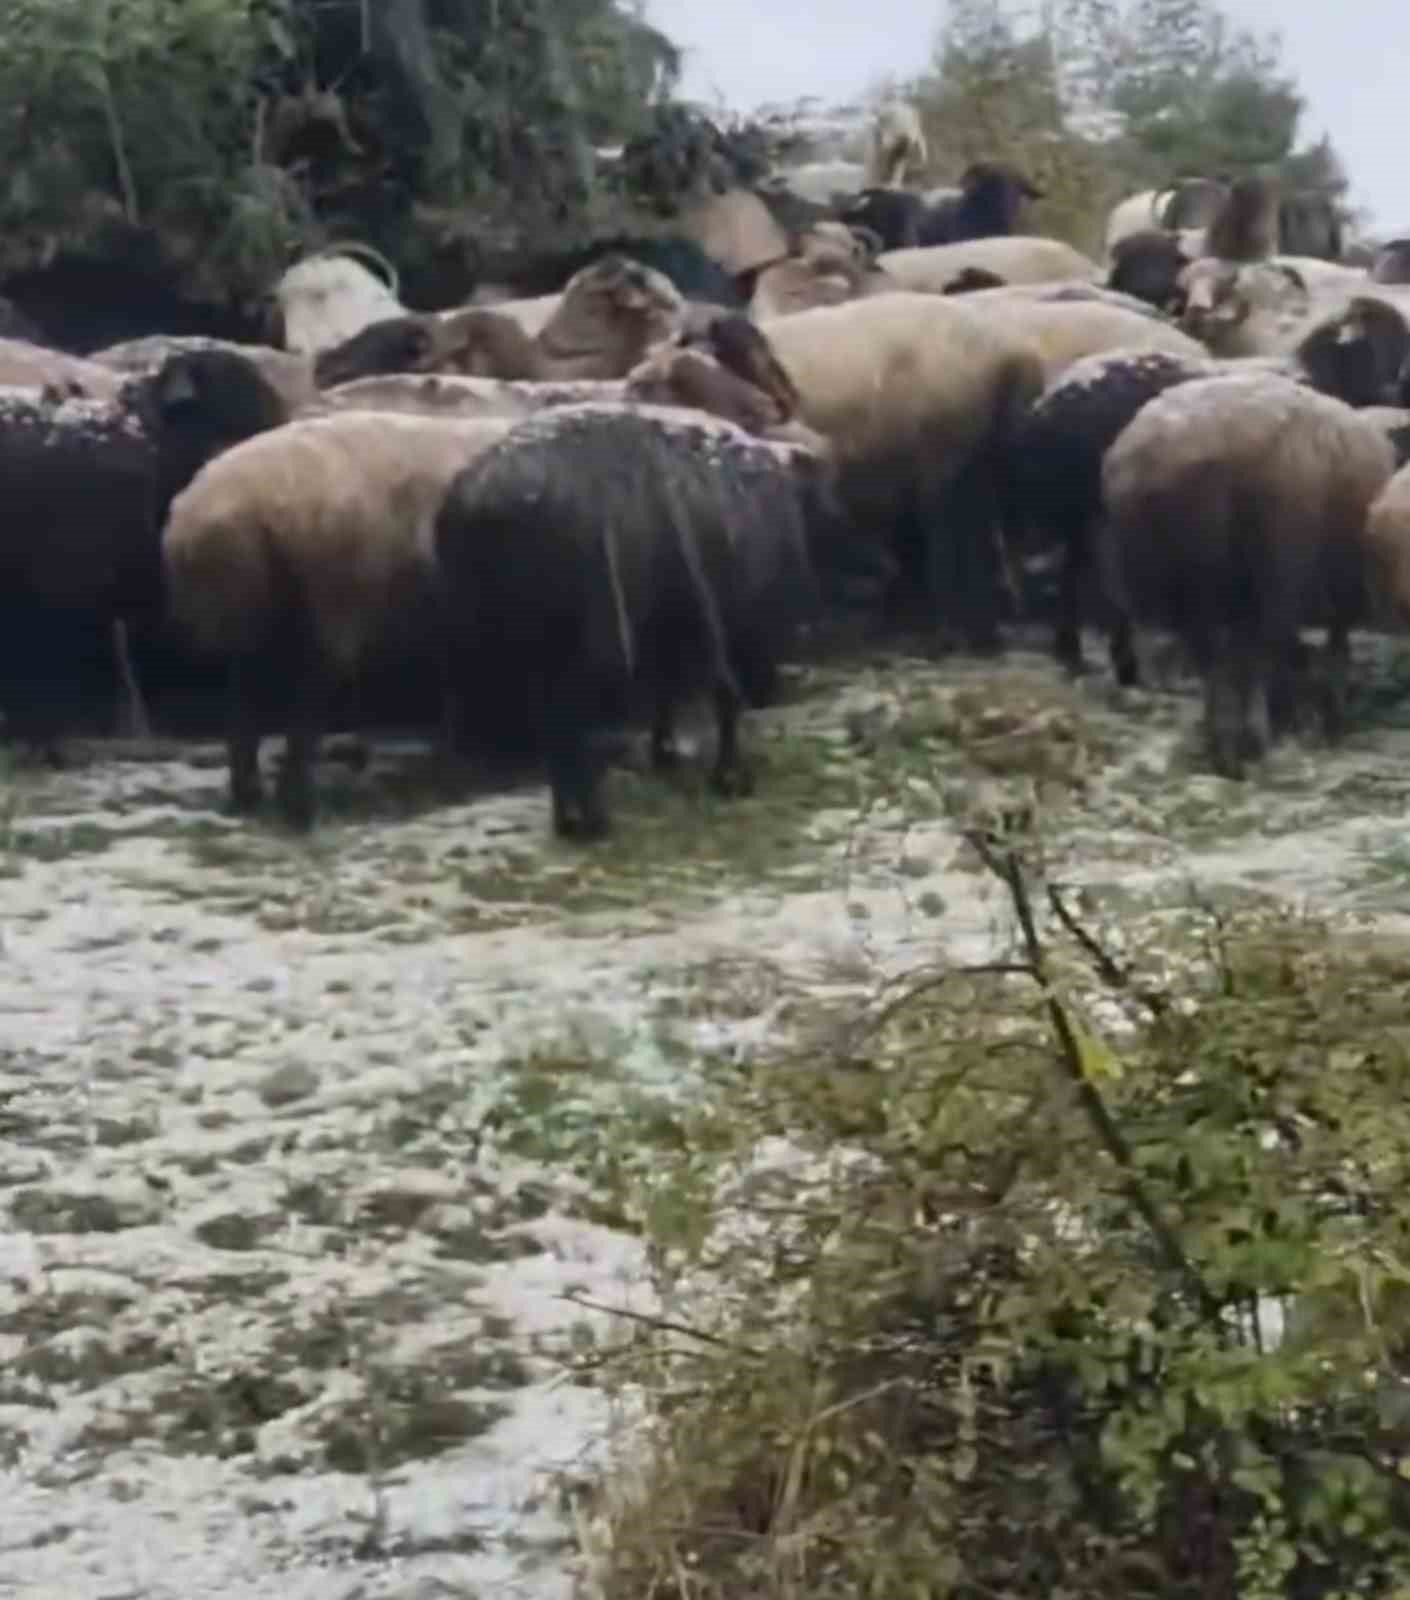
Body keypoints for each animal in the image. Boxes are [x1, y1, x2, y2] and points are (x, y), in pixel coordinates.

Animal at [435, 400, 857, 844]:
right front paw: (728, 776)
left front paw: (667, 754)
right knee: (571, 717)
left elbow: (665, 691)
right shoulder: (702, 619)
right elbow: (719, 691)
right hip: (585, 643)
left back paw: (569, 817)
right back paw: (590, 819)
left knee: (550, 718)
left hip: (515, 639)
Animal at [1094, 374, 1389, 774]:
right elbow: (1325, 650)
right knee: (1261, 646)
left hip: (1173, 576)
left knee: (1208, 653)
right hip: (1266, 562)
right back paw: (1251, 737)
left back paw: (1219, 738)